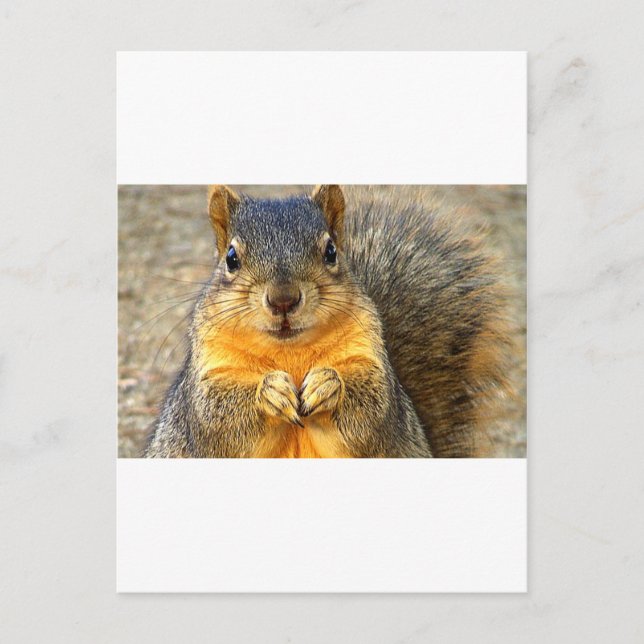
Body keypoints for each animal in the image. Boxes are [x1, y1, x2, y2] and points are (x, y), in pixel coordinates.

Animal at [144, 185, 511, 458]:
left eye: (331, 251)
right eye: (231, 258)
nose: (283, 299)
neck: (288, 350)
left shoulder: (371, 361)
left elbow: (373, 411)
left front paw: (328, 384)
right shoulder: (207, 378)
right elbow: (216, 418)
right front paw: (270, 391)